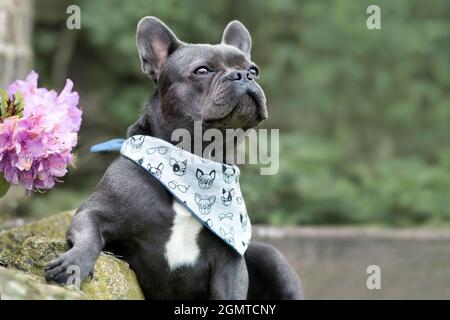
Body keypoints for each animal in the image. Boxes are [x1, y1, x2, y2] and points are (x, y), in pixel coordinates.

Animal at [44, 16, 302, 298]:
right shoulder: (94, 212)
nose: (243, 75)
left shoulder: (230, 261)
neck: (197, 156)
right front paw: (74, 263)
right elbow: (89, 234)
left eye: (254, 70)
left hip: (271, 257)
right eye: (202, 70)